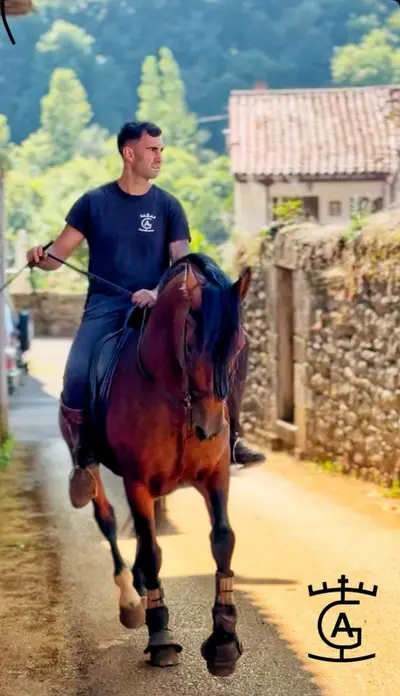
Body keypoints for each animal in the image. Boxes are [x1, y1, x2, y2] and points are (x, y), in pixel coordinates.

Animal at [69, 252, 251, 677]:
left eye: (240, 346)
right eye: (192, 345)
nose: (209, 428)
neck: (172, 392)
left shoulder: (215, 476)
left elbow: (223, 539)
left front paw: (224, 640)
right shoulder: (137, 480)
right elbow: (152, 551)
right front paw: (161, 633)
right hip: (93, 465)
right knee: (107, 518)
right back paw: (130, 599)